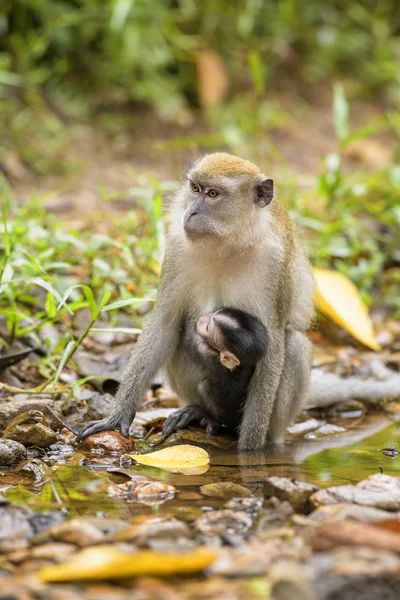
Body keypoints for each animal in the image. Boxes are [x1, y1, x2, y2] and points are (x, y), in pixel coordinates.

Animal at [162, 308, 268, 438]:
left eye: (207, 327)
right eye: (214, 312)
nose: (201, 318)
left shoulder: (204, 350)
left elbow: (190, 341)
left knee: (205, 388)